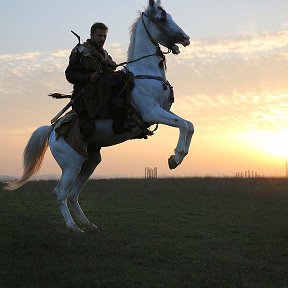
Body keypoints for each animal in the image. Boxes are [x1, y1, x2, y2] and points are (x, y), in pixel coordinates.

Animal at [4, 0, 194, 233]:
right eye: (163, 17)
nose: (186, 38)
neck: (145, 74)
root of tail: (52, 130)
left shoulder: (164, 111)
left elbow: (189, 125)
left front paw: (176, 157)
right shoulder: (152, 112)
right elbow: (183, 125)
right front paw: (175, 158)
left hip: (90, 162)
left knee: (73, 193)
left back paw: (87, 223)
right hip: (72, 163)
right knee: (61, 192)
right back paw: (73, 228)